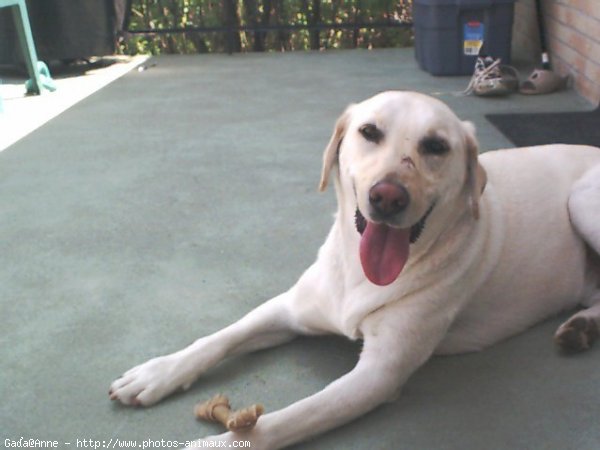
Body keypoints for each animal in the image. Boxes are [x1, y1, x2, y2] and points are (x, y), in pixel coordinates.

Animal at [110, 91, 600, 446]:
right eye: (369, 131)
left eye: (436, 146)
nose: (388, 196)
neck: (361, 275)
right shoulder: (291, 309)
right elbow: (221, 337)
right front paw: (158, 372)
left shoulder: (377, 375)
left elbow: (284, 420)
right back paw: (582, 328)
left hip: (582, 202)